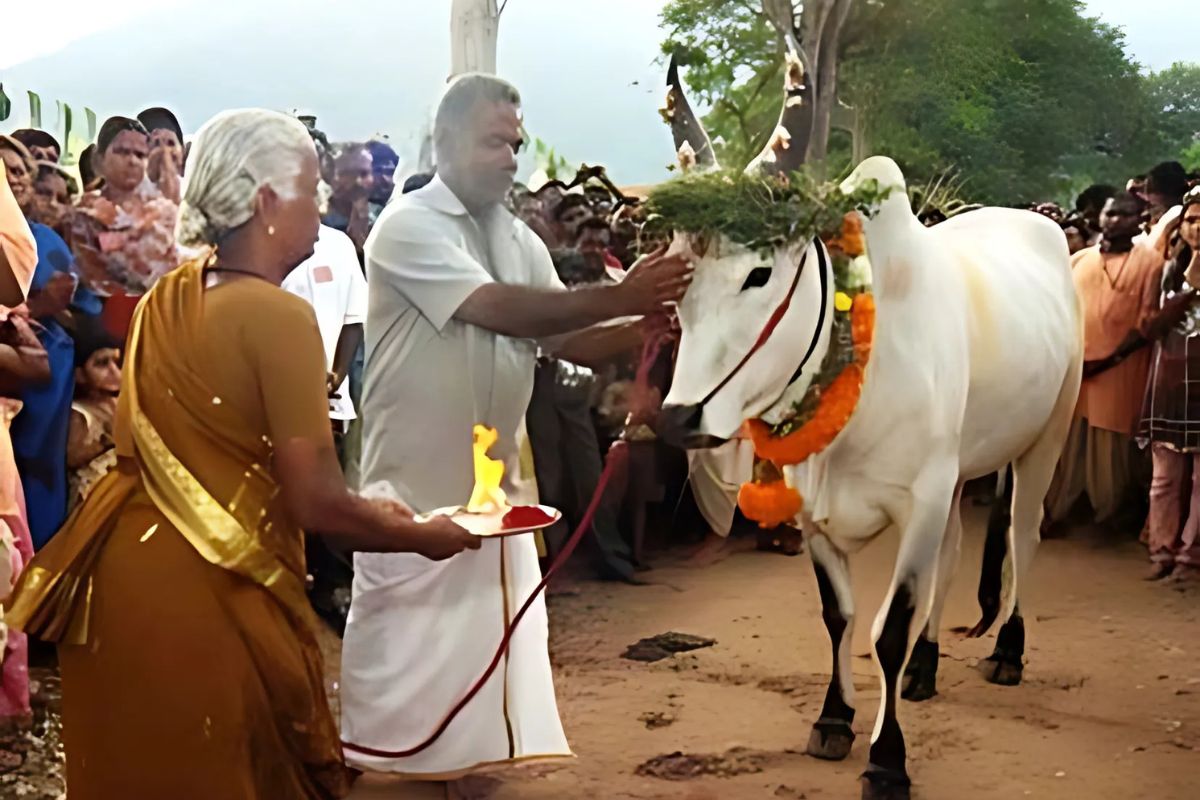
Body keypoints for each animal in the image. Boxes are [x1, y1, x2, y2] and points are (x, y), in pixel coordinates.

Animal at [657, 53, 1089, 800]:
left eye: (759, 274)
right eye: (681, 278)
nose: (681, 417)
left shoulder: (918, 501)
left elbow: (887, 630)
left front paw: (888, 760)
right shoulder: (818, 511)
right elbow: (841, 616)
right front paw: (834, 719)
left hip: (1046, 436)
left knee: (1022, 535)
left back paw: (1008, 651)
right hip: (961, 471)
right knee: (954, 555)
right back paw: (926, 667)